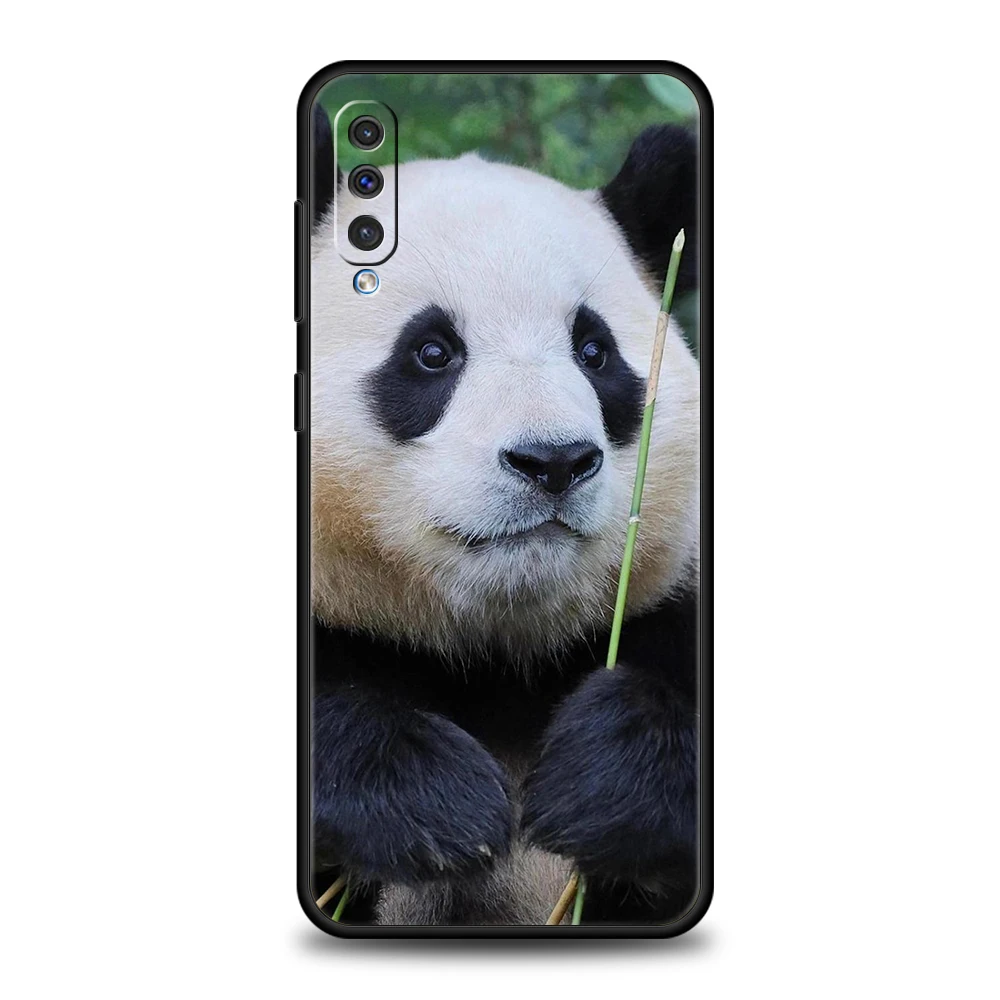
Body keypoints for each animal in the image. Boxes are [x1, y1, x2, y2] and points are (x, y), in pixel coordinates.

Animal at [309, 103, 702, 926]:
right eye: (432, 352)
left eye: (595, 352)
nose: (553, 462)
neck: (495, 658)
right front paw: (437, 807)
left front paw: (600, 780)